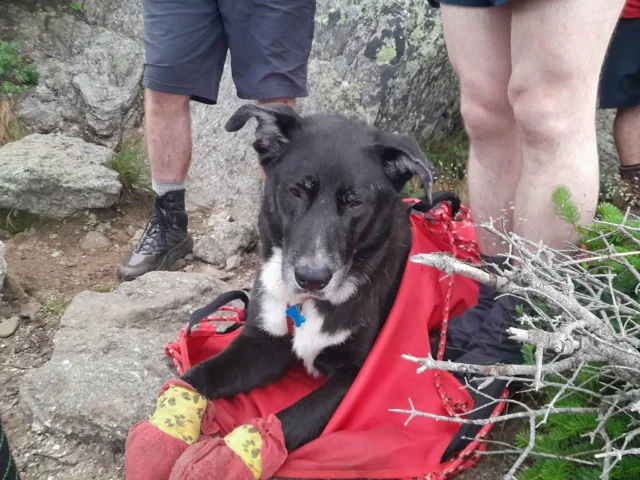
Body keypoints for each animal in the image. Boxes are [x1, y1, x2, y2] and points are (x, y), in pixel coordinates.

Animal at [182, 104, 438, 454]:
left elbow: (288, 423)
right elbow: (200, 375)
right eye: (296, 191)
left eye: (355, 201)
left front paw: (235, 454)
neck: (305, 305)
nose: (311, 279)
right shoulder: (261, 344)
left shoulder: (353, 379)